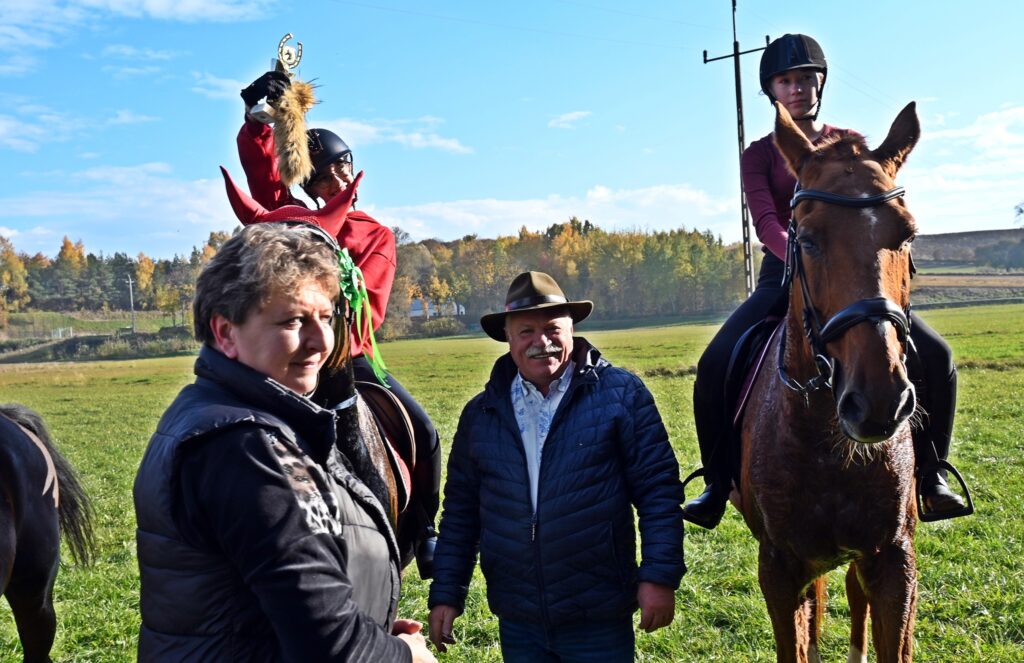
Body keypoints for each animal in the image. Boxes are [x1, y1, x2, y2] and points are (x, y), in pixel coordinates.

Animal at [741, 99, 925, 663]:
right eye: (807, 239)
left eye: (907, 234)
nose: (879, 402)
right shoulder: (779, 570)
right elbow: (796, 641)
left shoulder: (893, 561)